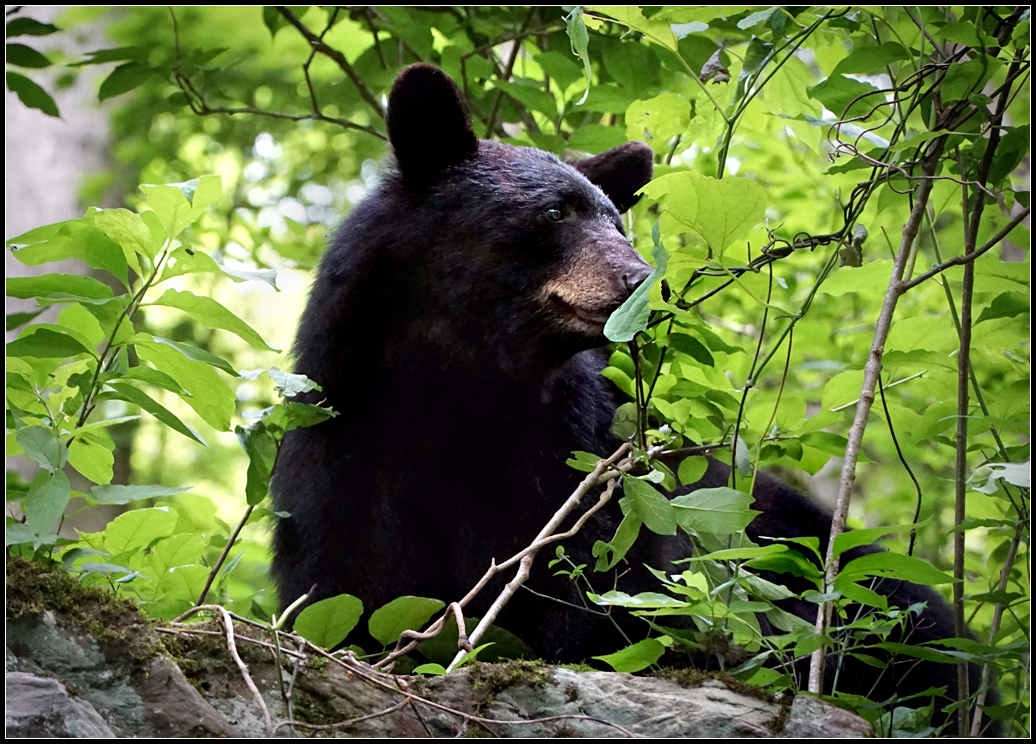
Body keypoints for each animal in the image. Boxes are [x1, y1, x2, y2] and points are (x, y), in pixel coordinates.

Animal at [270, 64, 996, 736]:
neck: (460, 390)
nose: (648, 281)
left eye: (617, 219)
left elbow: (605, 595)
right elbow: (342, 591)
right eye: (554, 212)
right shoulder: (340, 454)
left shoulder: (579, 461)